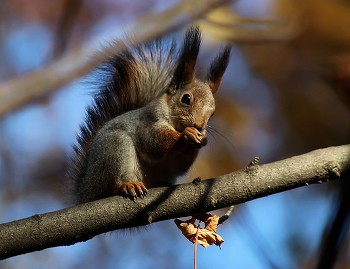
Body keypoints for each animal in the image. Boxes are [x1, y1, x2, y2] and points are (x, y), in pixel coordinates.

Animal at [68, 26, 232, 203]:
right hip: (113, 149)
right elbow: (153, 141)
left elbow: (178, 166)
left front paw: (202, 140)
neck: (175, 124)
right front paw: (186, 134)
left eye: (213, 113)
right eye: (186, 98)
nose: (199, 126)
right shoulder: (147, 120)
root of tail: (84, 191)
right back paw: (127, 186)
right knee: (107, 189)